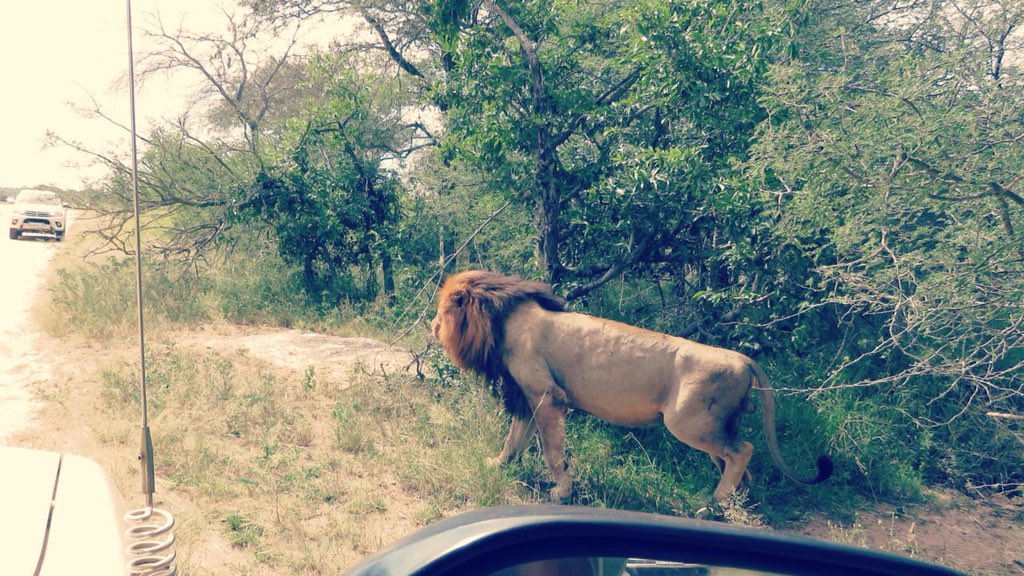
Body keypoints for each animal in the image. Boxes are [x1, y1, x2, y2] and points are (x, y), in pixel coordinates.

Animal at [432, 270, 832, 503]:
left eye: (443, 311)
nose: (433, 327)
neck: (504, 318)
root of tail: (743, 358)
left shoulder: (548, 397)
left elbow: (550, 450)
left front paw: (562, 490)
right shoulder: (526, 396)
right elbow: (514, 440)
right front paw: (498, 464)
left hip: (687, 423)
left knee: (743, 451)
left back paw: (713, 505)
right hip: (712, 426)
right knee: (736, 459)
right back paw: (734, 502)